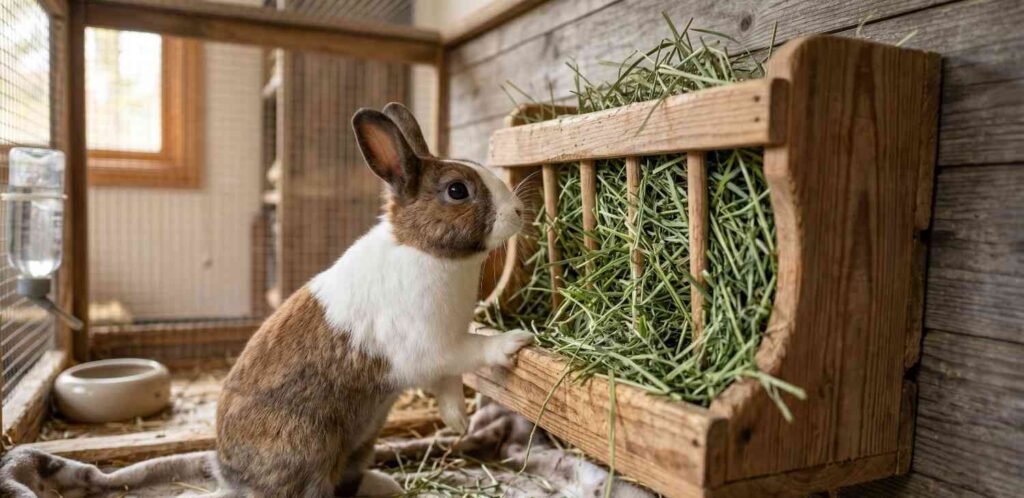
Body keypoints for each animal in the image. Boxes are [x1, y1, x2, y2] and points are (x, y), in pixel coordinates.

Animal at [0, 102, 533, 498]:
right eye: (458, 190)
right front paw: (513, 342)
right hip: (312, 446)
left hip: (361, 441)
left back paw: (385, 485)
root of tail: (228, 472)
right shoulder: (433, 346)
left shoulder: (441, 357)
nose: (520, 212)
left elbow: (450, 385)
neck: (423, 249)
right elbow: (466, 354)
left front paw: (458, 420)